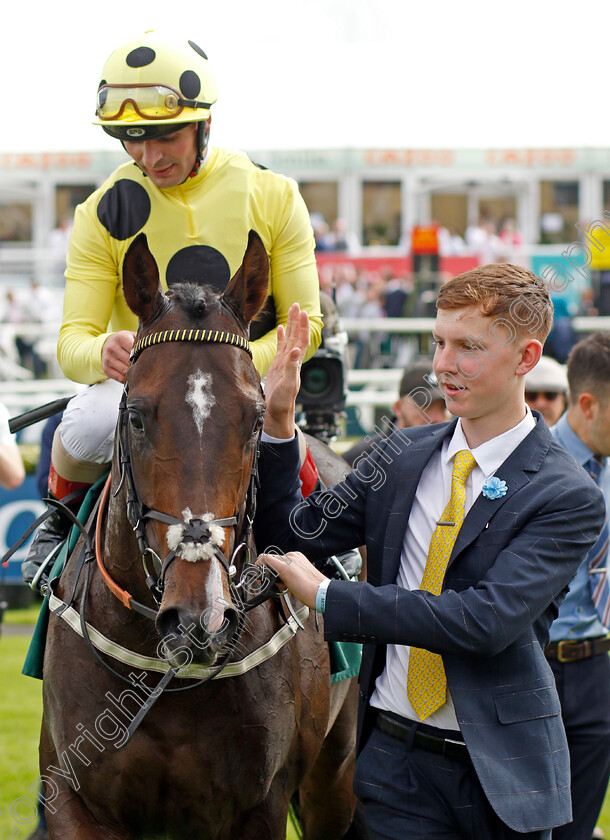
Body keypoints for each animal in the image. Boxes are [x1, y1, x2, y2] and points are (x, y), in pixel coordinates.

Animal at [39, 233, 356, 840]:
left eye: (255, 420)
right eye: (136, 416)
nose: (198, 618)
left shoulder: (259, 806)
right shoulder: (75, 800)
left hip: (335, 774)